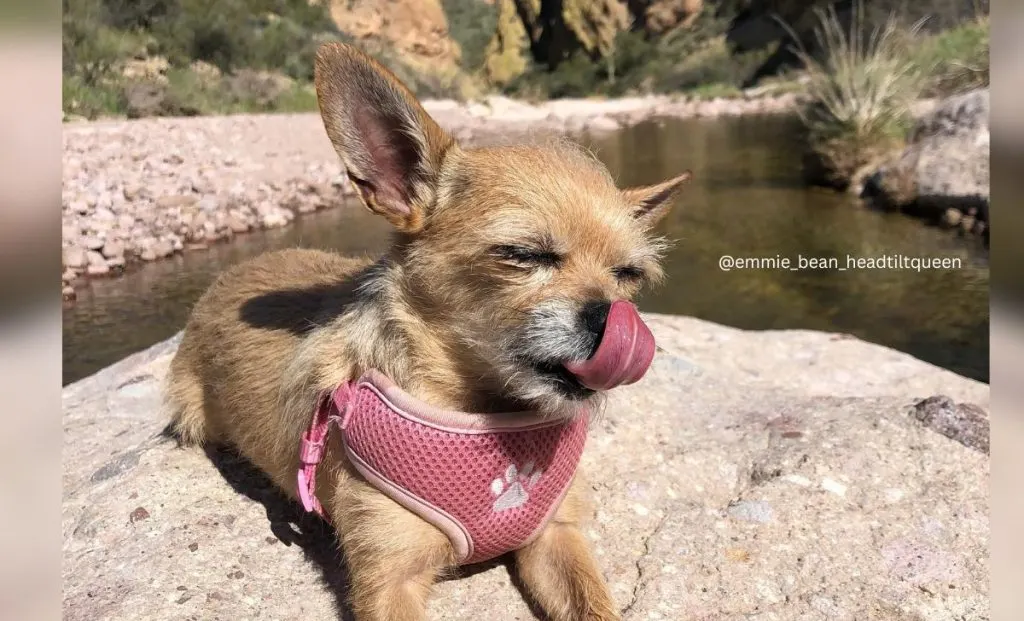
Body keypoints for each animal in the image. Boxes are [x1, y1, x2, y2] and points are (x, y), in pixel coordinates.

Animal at [167, 42, 692, 621]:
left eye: (629, 275)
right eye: (523, 254)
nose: (610, 317)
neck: (487, 414)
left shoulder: (556, 536)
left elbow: (594, 604)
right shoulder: (388, 580)